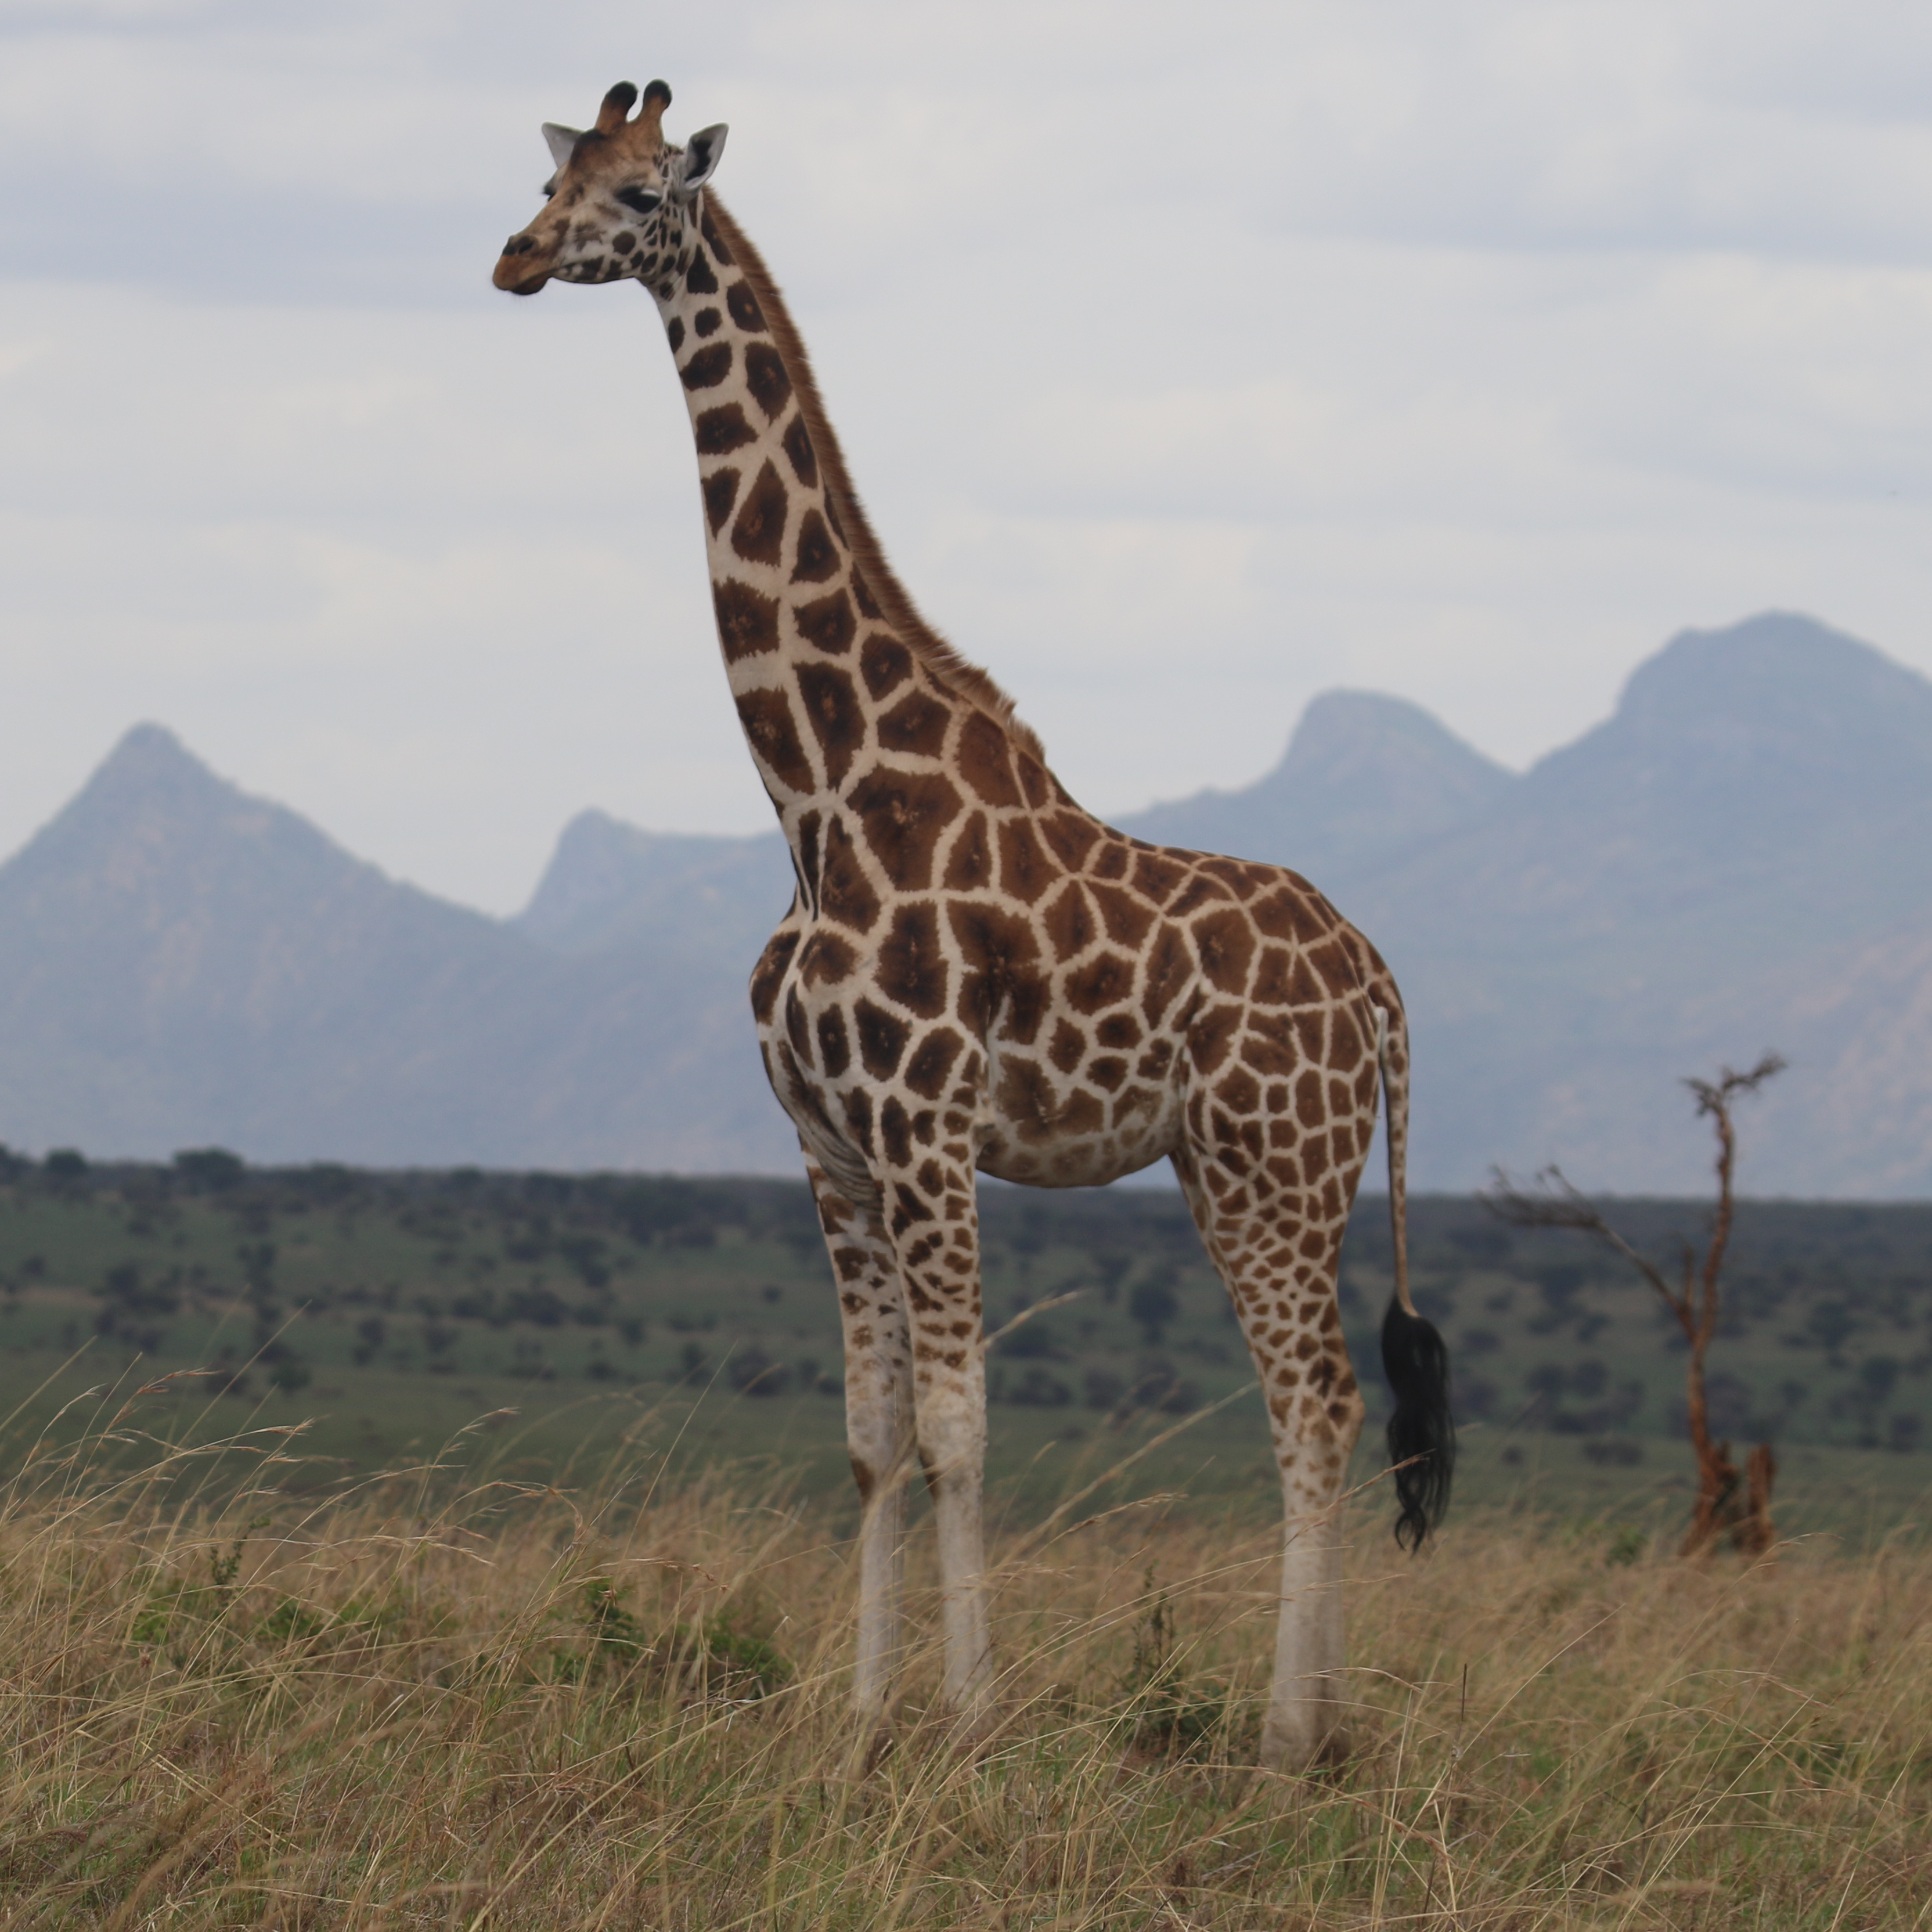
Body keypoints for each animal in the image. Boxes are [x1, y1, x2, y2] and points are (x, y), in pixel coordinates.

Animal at [493, 80, 1454, 1771]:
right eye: (556, 174)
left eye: (644, 192)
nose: (518, 256)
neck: (817, 800)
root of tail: (1379, 984)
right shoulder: (830, 1142)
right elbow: (874, 1439)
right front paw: (864, 1720)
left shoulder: (928, 1124)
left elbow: (957, 1429)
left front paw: (972, 1723)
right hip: (1247, 1167)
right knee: (1320, 1398)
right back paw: (1323, 1724)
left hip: (1279, 1161)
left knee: (1319, 1401)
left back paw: (1284, 1736)